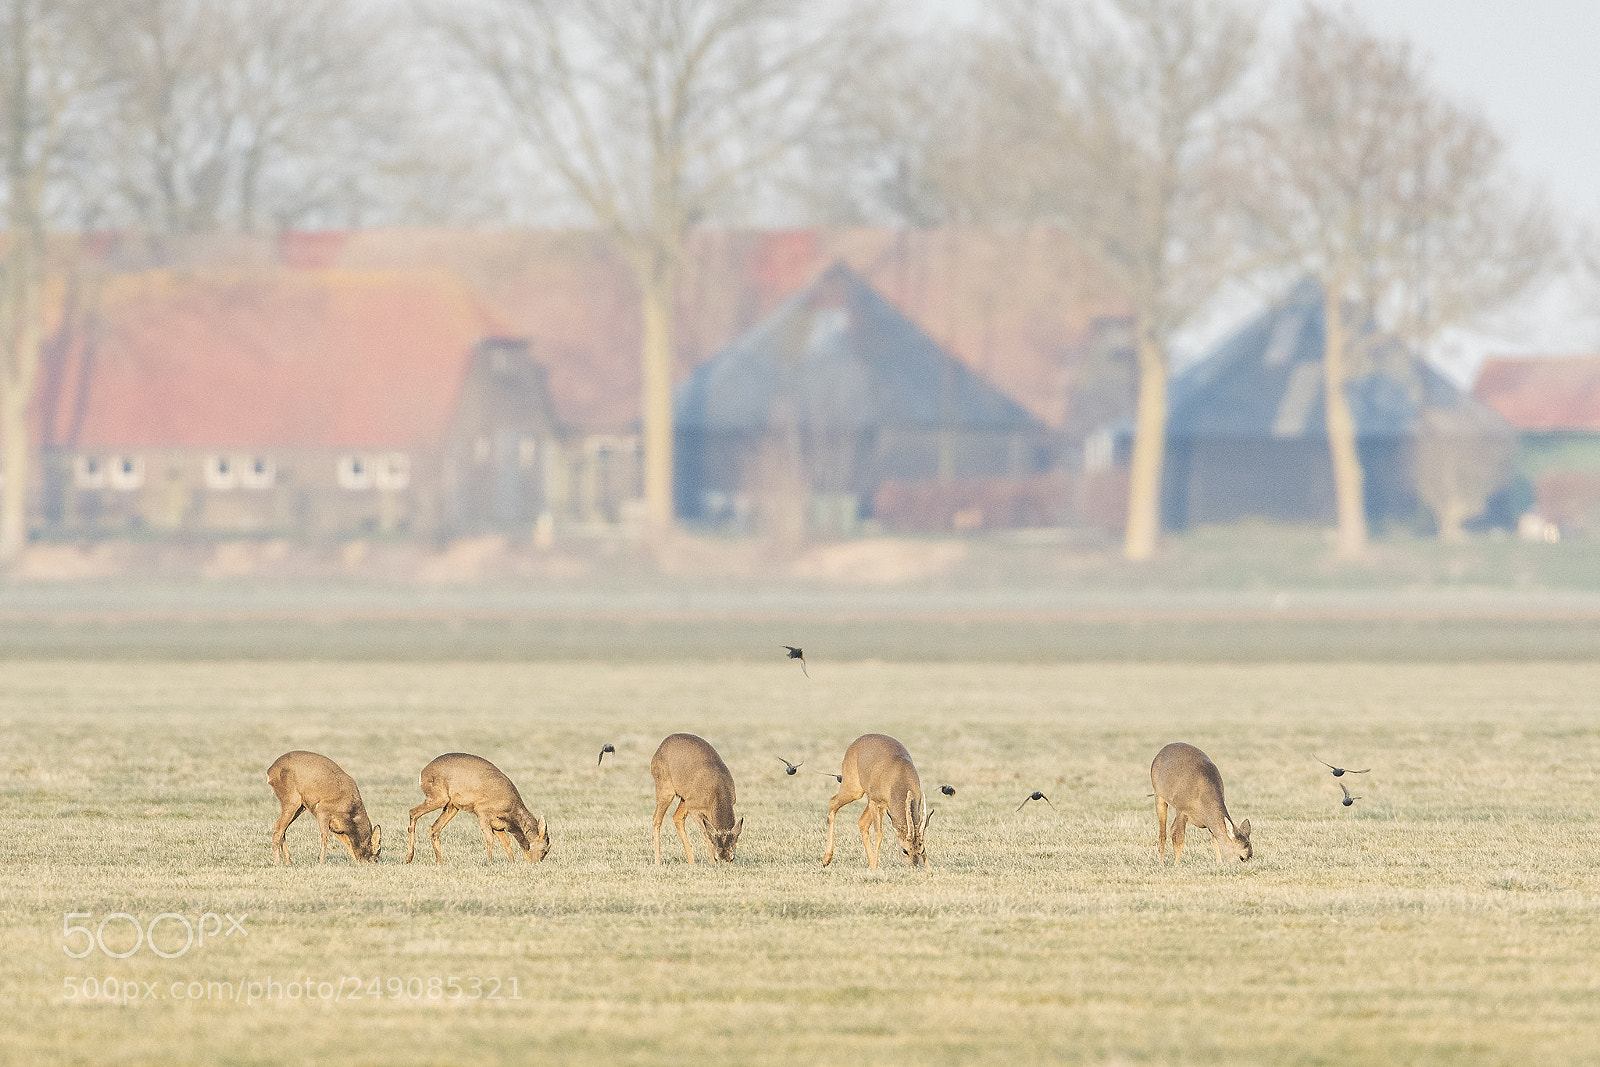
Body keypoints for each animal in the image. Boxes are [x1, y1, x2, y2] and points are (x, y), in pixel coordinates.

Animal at [403, 753, 550, 865]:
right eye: (545, 850)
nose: (534, 863)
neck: (510, 811)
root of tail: (422, 773)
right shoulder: (482, 812)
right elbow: (490, 840)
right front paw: (489, 863)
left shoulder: (498, 825)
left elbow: (506, 842)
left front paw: (512, 862)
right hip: (439, 797)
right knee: (413, 812)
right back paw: (408, 858)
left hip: (452, 806)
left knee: (434, 828)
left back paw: (439, 861)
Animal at [650, 733, 743, 863]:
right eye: (718, 858)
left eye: (732, 858)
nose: (720, 862)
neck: (717, 789)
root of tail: (659, 750)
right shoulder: (694, 808)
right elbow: (707, 833)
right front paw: (711, 862)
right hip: (665, 790)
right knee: (657, 820)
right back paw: (658, 862)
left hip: (685, 798)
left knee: (676, 817)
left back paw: (691, 861)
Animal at [822, 733, 933, 869]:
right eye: (904, 850)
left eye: (921, 850)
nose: (914, 866)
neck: (899, 779)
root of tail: (855, 742)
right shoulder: (876, 801)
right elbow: (879, 834)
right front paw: (875, 867)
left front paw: (929, 867)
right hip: (854, 787)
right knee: (833, 801)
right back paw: (826, 859)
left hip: (868, 798)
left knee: (861, 822)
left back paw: (869, 863)